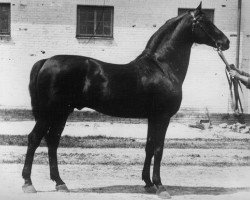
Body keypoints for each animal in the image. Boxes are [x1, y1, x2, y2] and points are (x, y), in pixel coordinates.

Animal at [22, 3, 229, 198]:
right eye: (206, 22)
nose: (225, 42)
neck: (162, 67)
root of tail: (46, 61)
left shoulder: (152, 118)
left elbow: (149, 147)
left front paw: (148, 183)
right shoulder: (162, 117)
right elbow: (159, 149)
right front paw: (160, 187)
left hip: (62, 112)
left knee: (52, 141)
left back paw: (60, 183)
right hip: (50, 112)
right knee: (34, 138)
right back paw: (28, 183)